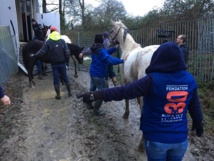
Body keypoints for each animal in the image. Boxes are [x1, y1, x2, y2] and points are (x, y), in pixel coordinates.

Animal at [109, 20, 160, 152]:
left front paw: (126, 114)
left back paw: (142, 145)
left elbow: (126, 99)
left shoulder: (124, 80)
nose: (109, 41)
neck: (129, 47)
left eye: (111, 30)